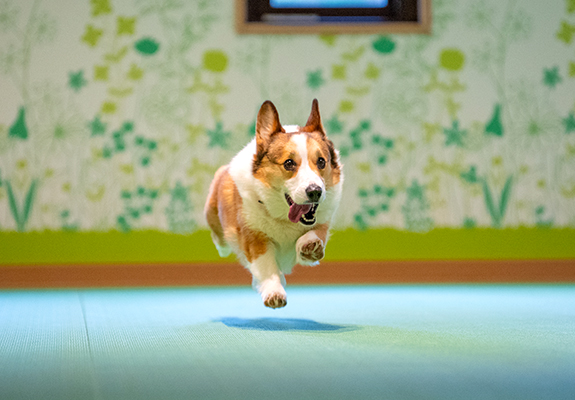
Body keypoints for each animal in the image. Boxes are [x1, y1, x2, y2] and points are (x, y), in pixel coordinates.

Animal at [206, 98, 344, 308]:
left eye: (321, 162)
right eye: (289, 163)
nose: (315, 192)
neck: (284, 217)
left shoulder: (321, 221)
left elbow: (314, 234)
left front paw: (309, 245)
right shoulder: (255, 239)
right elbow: (267, 266)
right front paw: (274, 292)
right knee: (220, 240)